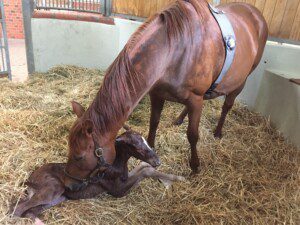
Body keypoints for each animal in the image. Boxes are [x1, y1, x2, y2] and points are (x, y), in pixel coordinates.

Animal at [10, 128, 184, 223]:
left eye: (146, 142)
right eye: (136, 147)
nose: (157, 161)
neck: (115, 166)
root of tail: (30, 179)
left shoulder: (125, 178)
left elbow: (142, 167)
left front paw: (174, 179)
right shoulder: (117, 190)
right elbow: (145, 171)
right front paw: (175, 180)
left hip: (58, 197)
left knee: (28, 211)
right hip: (53, 188)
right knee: (17, 210)